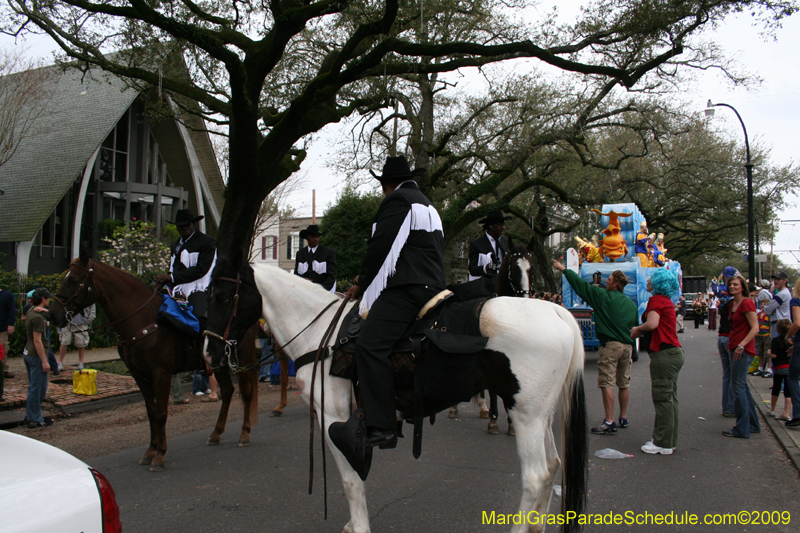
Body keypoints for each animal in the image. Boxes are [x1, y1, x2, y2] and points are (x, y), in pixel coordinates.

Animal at [49, 250, 260, 470]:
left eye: (73, 280)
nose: (52, 315)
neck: (142, 320)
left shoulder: (161, 373)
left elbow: (160, 413)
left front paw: (159, 454)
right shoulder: (140, 376)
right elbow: (151, 412)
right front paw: (150, 450)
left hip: (242, 358)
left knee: (246, 392)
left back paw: (244, 433)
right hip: (217, 362)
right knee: (227, 391)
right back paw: (216, 433)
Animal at [205, 258, 588, 532]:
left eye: (223, 297)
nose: (209, 354)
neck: (320, 336)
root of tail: (557, 311)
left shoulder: (334, 418)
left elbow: (350, 478)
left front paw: (359, 526)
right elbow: (356, 473)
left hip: (526, 416)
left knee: (536, 476)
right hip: (542, 416)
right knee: (553, 467)